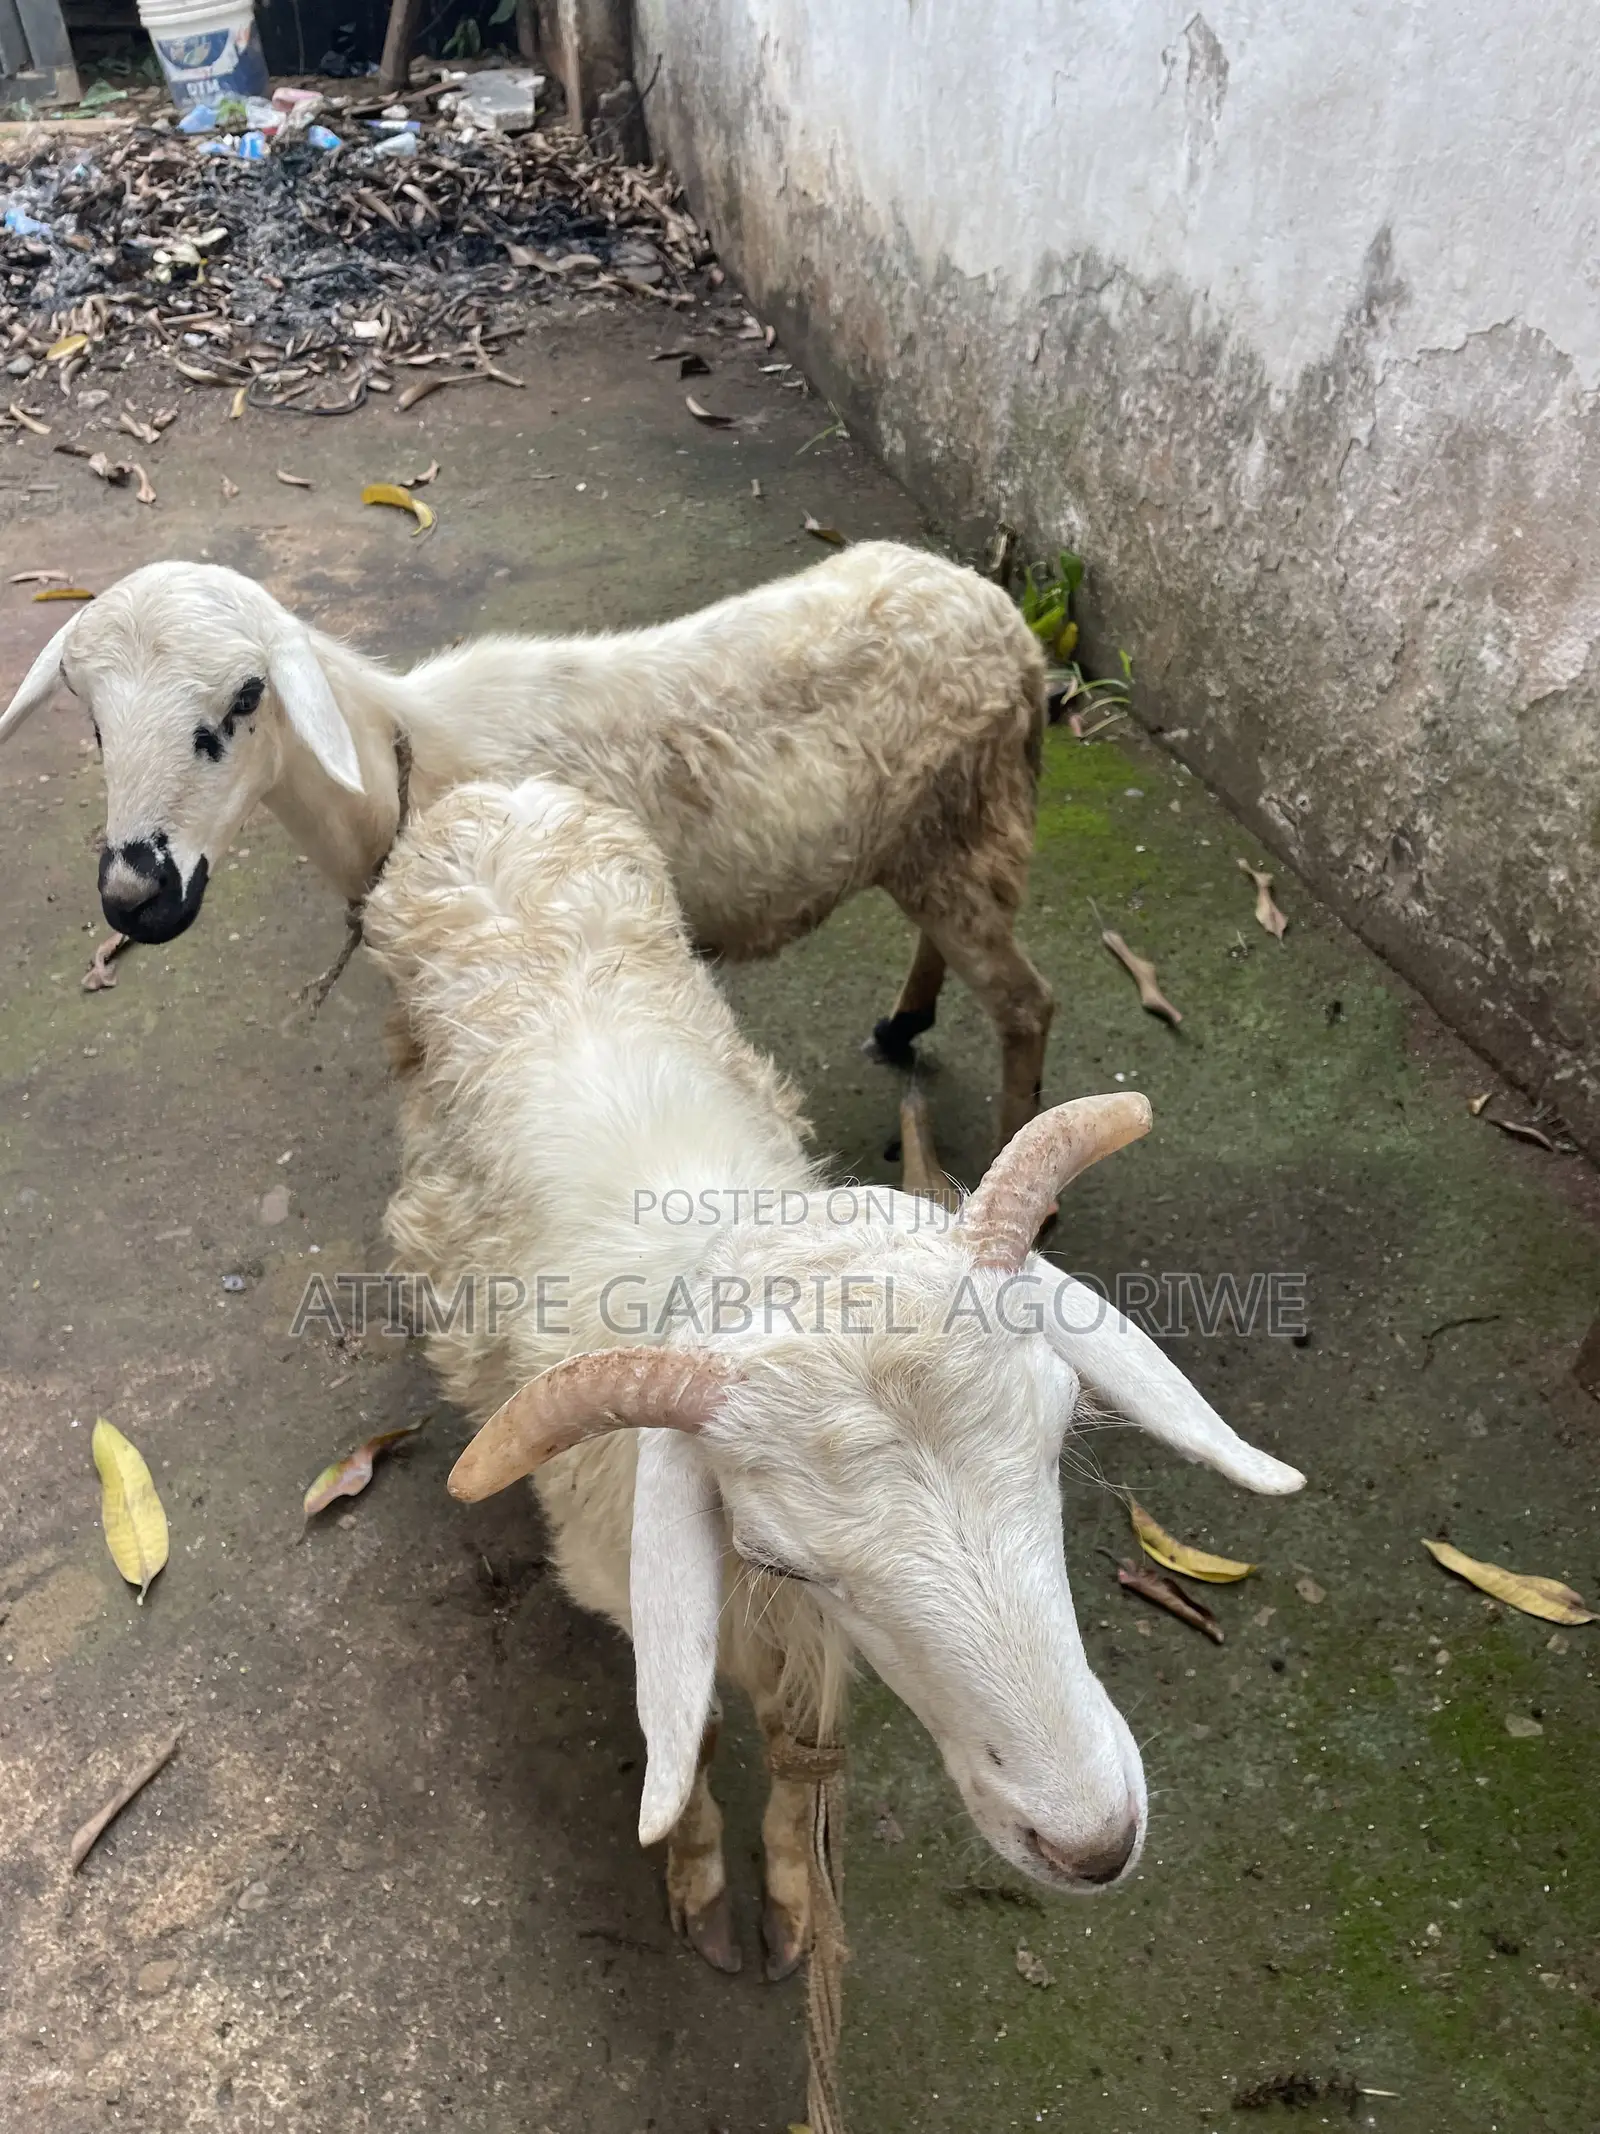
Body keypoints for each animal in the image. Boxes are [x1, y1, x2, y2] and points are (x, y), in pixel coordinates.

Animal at [1, 543, 1056, 1138]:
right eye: (91, 719)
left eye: (247, 697)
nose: (134, 895)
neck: (398, 766)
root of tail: (1012, 626)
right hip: (936, 837)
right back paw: (905, 1022)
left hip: (964, 826)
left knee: (1025, 1005)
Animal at [360, 774, 1305, 1983]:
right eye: (781, 1555)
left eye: (1056, 1439)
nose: (1092, 1844)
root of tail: (496, 791)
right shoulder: (649, 1578)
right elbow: (697, 1735)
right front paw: (701, 1878)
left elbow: (794, 1742)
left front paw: (794, 1893)